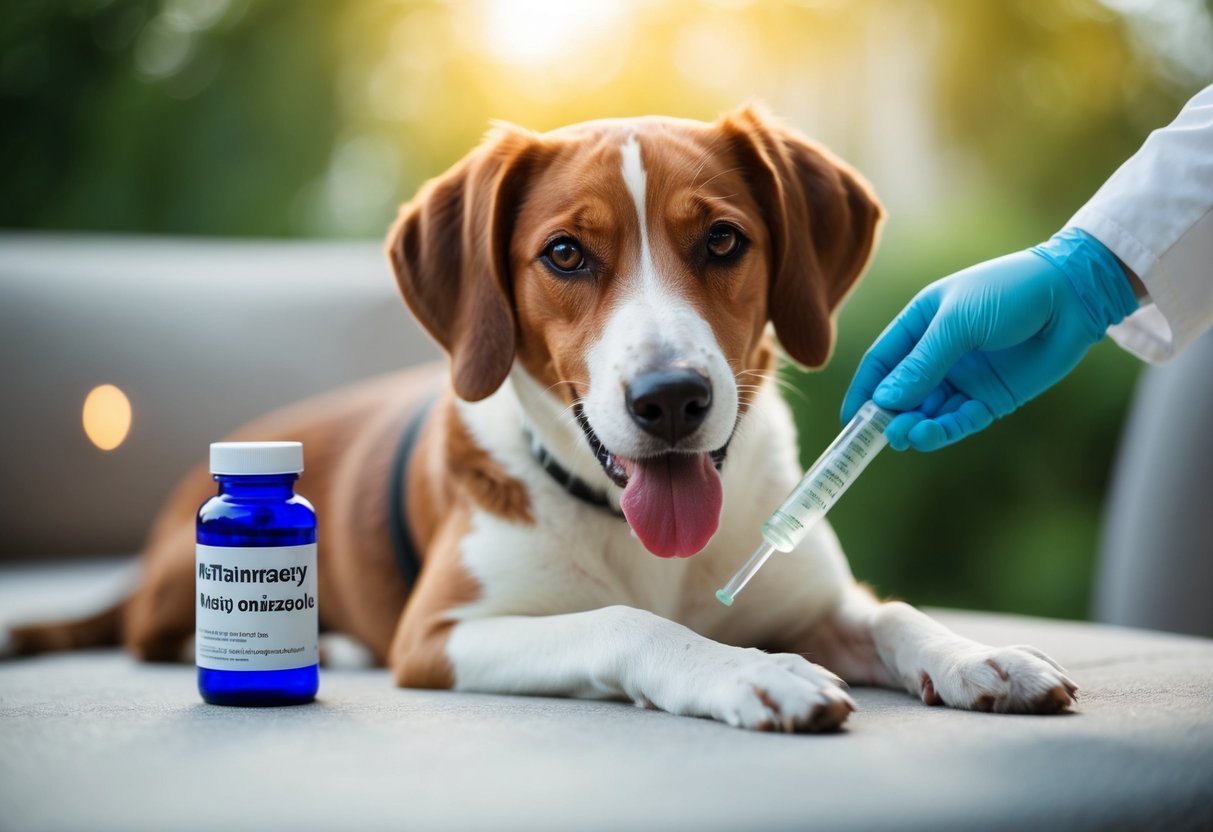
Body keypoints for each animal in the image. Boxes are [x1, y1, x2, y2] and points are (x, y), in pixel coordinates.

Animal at [9, 107, 1072, 732]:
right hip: (178, 602)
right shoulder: (444, 634)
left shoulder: (813, 599)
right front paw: (747, 672)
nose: (671, 399)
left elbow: (889, 610)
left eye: (724, 240)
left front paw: (977, 653)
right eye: (564, 254)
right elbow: (624, 622)